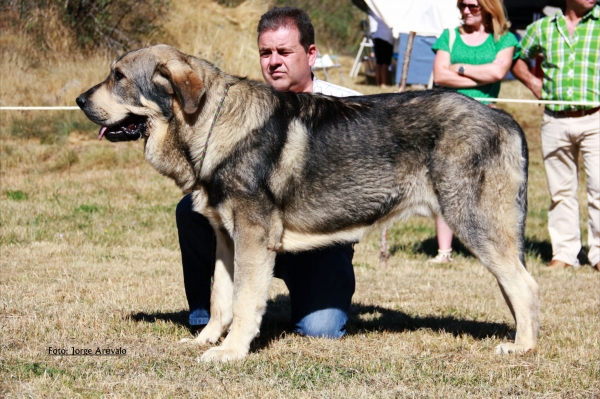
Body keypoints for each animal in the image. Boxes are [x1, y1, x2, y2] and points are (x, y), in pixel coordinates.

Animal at [77, 43, 540, 362]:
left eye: (118, 77)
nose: (80, 100)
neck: (210, 123)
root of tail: (506, 119)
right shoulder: (226, 238)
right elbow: (220, 298)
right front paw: (208, 339)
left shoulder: (253, 239)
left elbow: (244, 302)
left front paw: (231, 352)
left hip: (474, 224)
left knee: (524, 284)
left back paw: (523, 347)